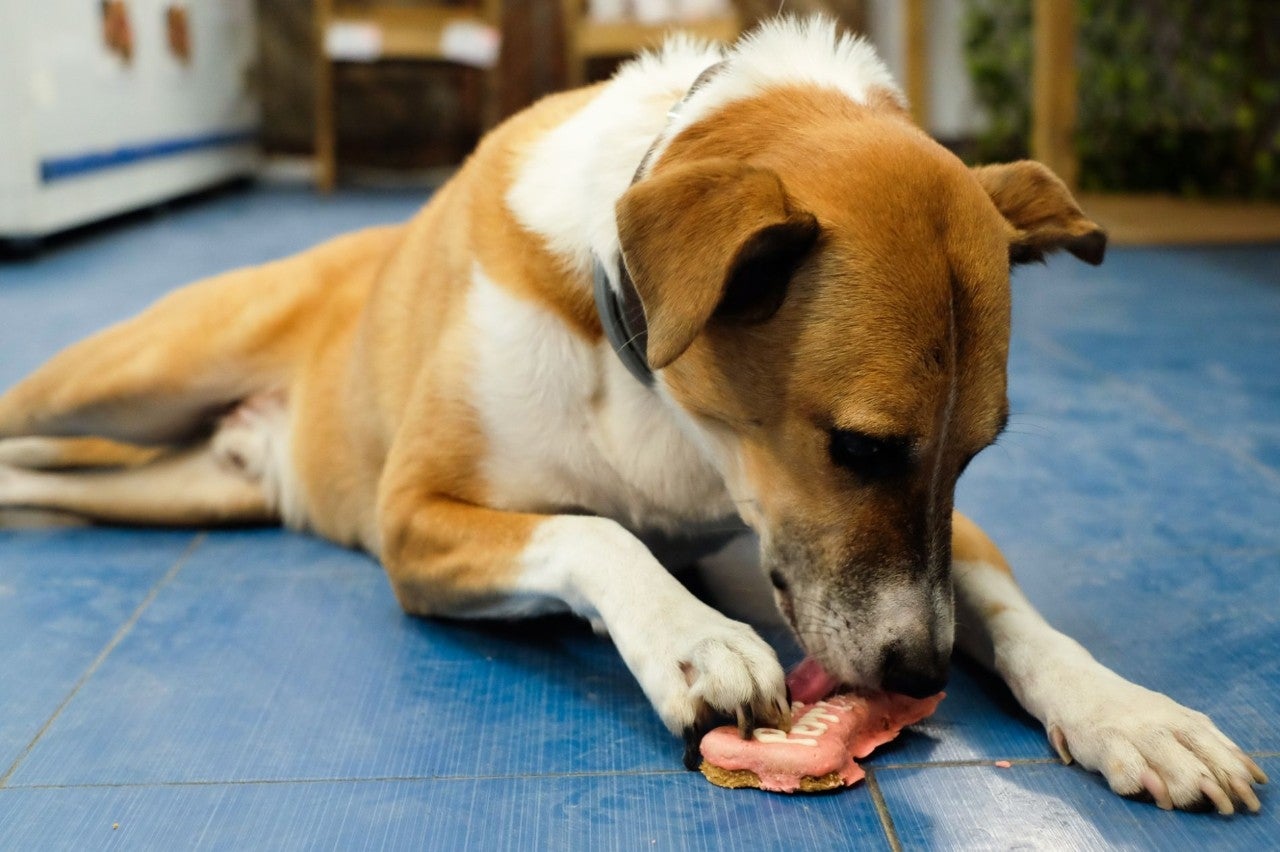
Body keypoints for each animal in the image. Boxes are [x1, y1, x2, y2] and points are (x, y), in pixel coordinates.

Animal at [0, 14, 1259, 808]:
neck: (660, 391)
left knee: (58, 478)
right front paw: (692, 640)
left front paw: (1130, 714)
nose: (915, 676)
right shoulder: (416, 520)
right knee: (30, 417)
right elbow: (593, 530)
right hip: (132, 374)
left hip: (179, 488)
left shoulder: (827, 538)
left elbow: (1008, 606)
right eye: (856, 446)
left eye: (974, 453)